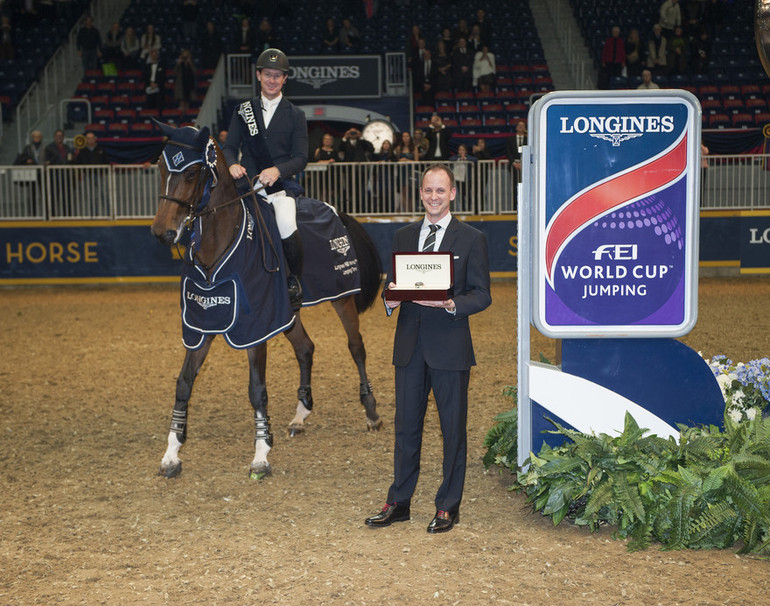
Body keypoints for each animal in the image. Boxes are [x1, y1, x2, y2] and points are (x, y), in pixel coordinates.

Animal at [148, 123, 380, 482]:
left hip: (343, 300)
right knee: (305, 348)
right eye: (161, 167)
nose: (163, 232)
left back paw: (370, 412)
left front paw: (261, 456)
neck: (219, 243)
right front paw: (171, 454)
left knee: (356, 347)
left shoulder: (256, 329)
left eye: (191, 173)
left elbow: (257, 389)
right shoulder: (203, 324)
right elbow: (184, 384)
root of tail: (337, 211)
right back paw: (300, 416)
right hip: (288, 313)